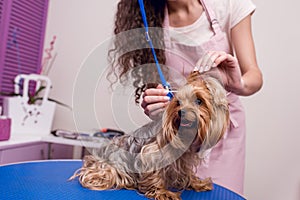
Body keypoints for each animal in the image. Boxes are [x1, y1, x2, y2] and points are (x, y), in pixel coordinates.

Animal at [71, 71, 230, 199]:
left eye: (199, 101)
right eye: (178, 102)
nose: (181, 112)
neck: (184, 135)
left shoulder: (184, 160)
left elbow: (187, 173)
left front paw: (197, 183)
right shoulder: (152, 153)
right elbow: (155, 173)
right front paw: (162, 192)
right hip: (113, 166)